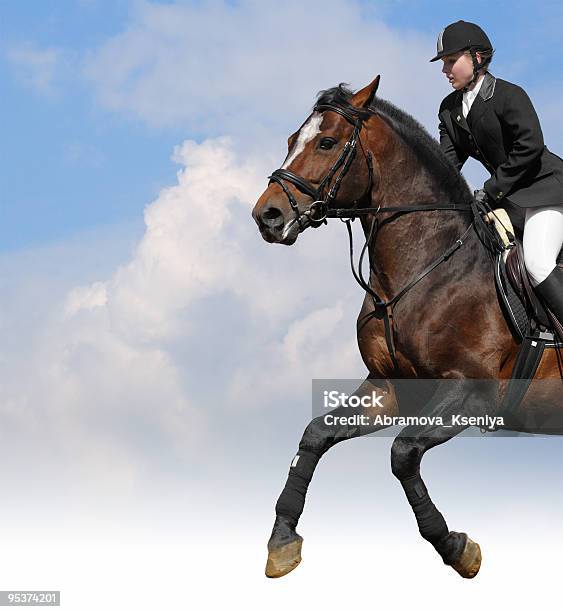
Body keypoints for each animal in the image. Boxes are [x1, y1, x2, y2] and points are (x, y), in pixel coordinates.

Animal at [252, 76, 563, 580]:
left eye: (326, 142)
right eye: (291, 140)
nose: (268, 216)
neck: (427, 264)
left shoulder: (473, 392)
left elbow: (402, 453)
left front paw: (456, 547)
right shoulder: (390, 387)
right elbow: (315, 435)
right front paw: (282, 541)